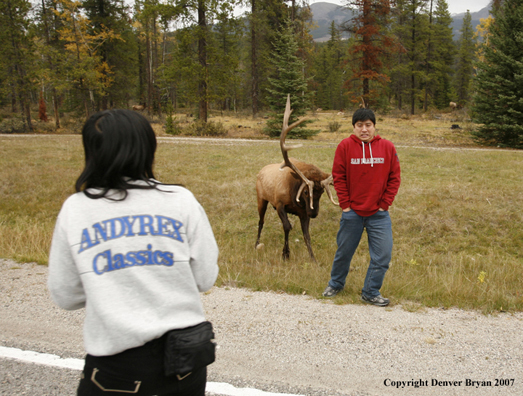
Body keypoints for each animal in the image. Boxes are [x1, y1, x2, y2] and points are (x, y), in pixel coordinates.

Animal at [255, 95, 338, 262]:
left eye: (321, 193)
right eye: (305, 191)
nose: (314, 213)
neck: (294, 196)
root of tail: (260, 171)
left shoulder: (303, 213)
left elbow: (307, 235)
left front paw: (313, 259)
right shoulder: (279, 203)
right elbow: (287, 226)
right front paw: (285, 254)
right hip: (261, 198)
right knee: (260, 221)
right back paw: (256, 244)